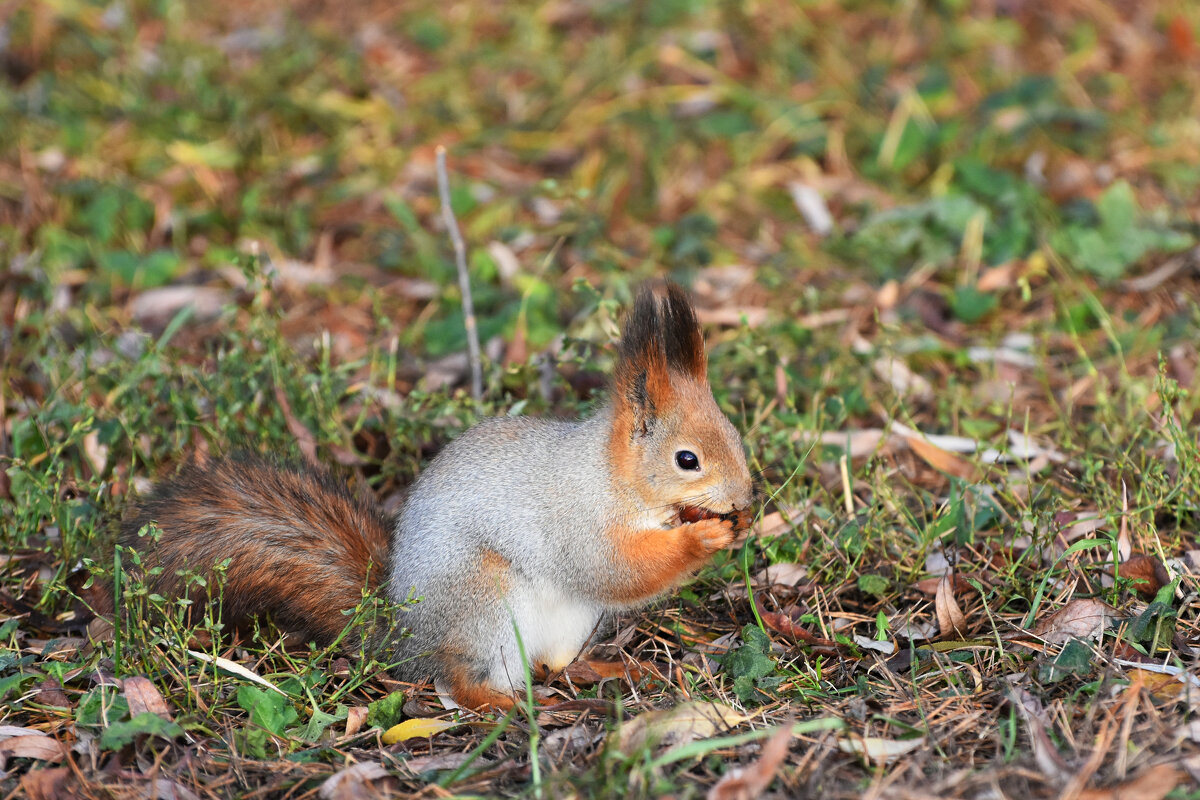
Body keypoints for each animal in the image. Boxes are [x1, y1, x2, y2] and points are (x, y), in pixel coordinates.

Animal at [112, 284, 748, 710]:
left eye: (735, 434)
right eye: (686, 459)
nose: (746, 498)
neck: (613, 478)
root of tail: (404, 641)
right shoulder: (575, 520)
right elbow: (614, 568)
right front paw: (705, 536)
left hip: (564, 623)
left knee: (548, 663)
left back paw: (604, 670)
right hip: (483, 603)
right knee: (461, 681)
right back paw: (504, 703)